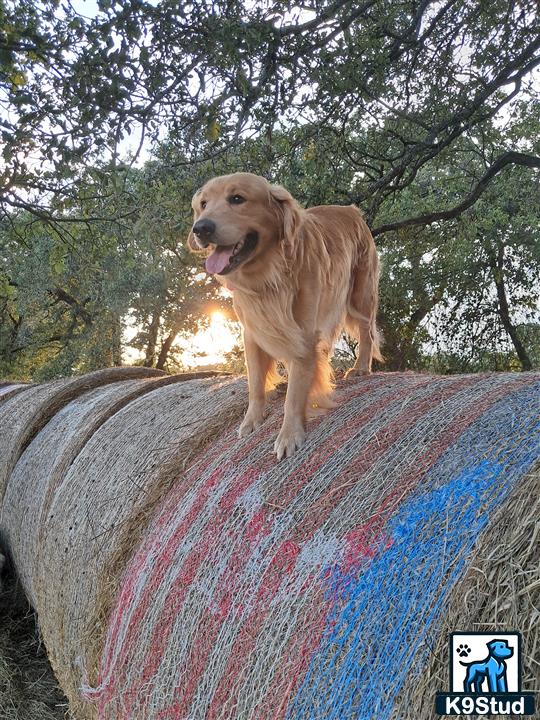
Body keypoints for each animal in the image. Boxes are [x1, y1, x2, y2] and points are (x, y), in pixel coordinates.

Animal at [188, 172, 382, 458]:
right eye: (203, 204)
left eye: (237, 198)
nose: (201, 228)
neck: (267, 277)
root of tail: (351, 209)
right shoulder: (252, 333)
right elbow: (256, 383)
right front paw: (252, 420)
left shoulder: (302, 334)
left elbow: (294, 393)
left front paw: (289, 434)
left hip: (361, 294)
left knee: (367, 333)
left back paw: (360, 368)